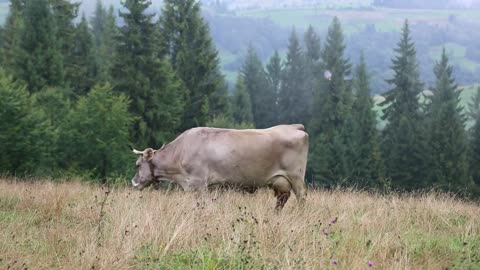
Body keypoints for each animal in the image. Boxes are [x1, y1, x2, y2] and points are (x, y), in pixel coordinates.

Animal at [131, 123, 310, 210]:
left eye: (137, 164)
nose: (133, 182)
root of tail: (293, 126)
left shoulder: (198, 184)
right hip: (280, 181)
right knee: (282, 199)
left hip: (296, 177)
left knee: (301, 197)